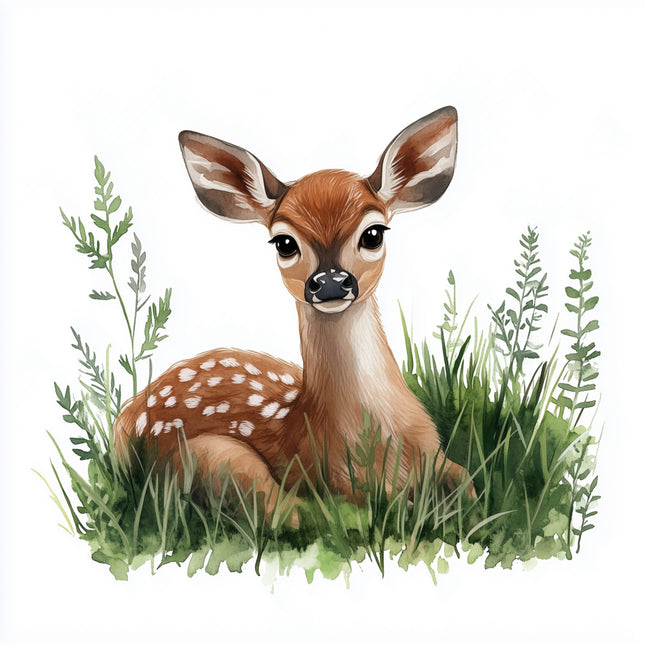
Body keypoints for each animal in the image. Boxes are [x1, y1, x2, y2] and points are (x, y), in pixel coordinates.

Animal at [114, 106, 475, 523]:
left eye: (374, 234)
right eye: (284, 242)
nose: (331, 283)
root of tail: (129, 413)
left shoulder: (438, 457)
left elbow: (470, 483)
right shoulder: (340, 483)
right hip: (213, 456)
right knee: (286, 512)